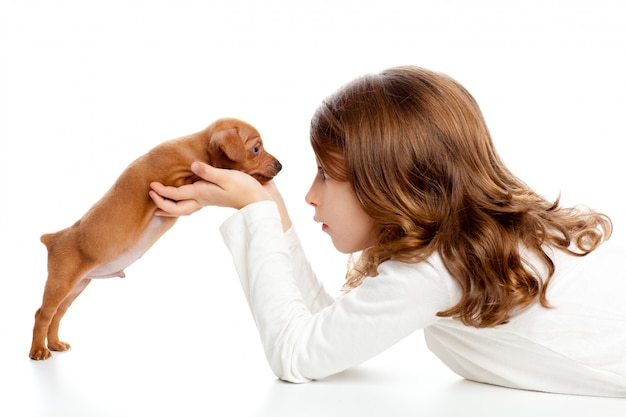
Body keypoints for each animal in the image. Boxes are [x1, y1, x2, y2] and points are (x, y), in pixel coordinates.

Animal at [30, 116, 280, 358]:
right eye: (256, 149)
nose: (280, 165)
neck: (197, 149)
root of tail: (52, 238)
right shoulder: (173, 181)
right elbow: (197, 177)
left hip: (77, 285)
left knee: (57, 314)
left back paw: (55, 344)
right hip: (61, 282)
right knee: (42, 314)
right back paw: (39, 350)